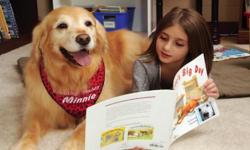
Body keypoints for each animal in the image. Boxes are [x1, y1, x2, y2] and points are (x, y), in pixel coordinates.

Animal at [13, 6, 148, 150]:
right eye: (62, 25)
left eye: (88, 23)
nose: (84, 39)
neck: (72, 77)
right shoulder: (37, 109)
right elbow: (31, 130)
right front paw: (22, 145)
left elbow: (80, 130)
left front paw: (68, 145)